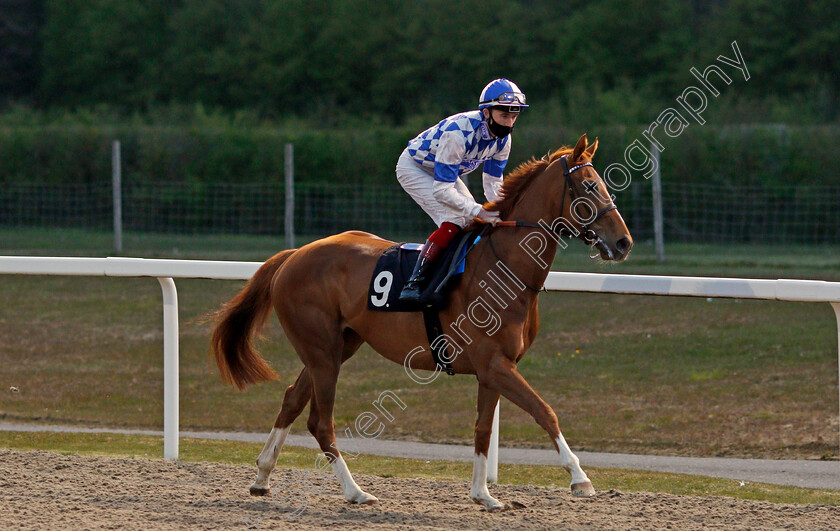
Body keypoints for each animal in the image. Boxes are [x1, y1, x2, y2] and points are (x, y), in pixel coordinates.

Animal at [210, 135, 632, 512]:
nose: (624, 242)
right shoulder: (495, 365)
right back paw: (356, 492)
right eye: (589, 185)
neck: (505, 268)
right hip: (321, 350)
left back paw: (262, 476)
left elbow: (483, 429)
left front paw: (483, 494)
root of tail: (295, 254)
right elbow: (545, 411)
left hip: (339, 345)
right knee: (320, 421)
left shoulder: (493, 369)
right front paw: (580, 479)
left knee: (292, 399)